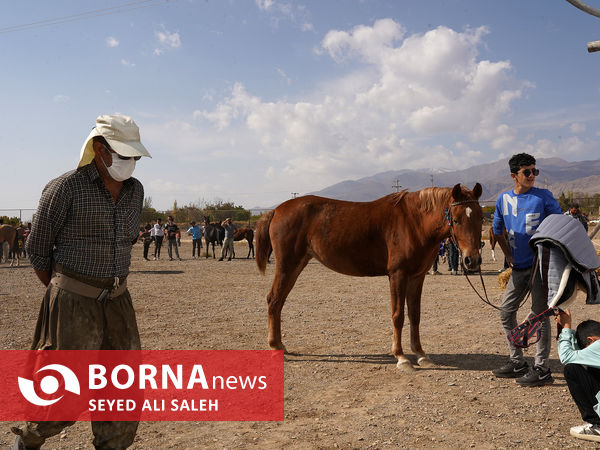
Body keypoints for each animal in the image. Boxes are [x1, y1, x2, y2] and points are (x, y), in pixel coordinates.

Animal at [255, 185, 486, 370]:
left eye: (480, 217)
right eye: (456, 219)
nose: (471, 260)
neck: (414, 222)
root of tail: (276, 210)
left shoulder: (417, 277)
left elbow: (415, 315)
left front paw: (421, 355)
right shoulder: (397, 275)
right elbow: (398, 316)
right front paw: (401, 357)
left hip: (296, 266)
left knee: (278, 302)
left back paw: (279, 345)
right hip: (288, 266)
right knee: (273, 300)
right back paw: (275, 346)